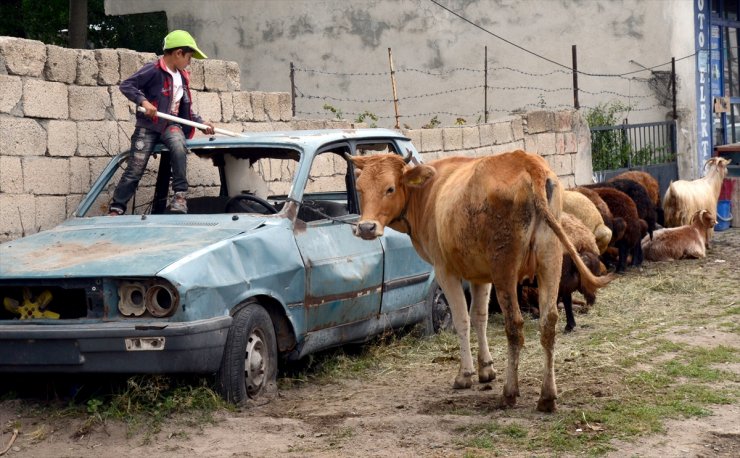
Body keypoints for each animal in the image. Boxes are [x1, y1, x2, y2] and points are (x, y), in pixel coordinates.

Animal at [348, 150, 612, 412]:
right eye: (360, 189)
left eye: (390, 188)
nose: (366, 227)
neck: (428, 192)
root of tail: (527, 162)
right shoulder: (481, 275)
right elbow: (479, 318)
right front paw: (486, 368)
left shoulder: (445, 271)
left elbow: (462, 319)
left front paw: (465, 374)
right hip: (550, 261)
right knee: (548, 323)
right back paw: (547, 397)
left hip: (505, 269)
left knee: (514, 326)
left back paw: (509, 393)